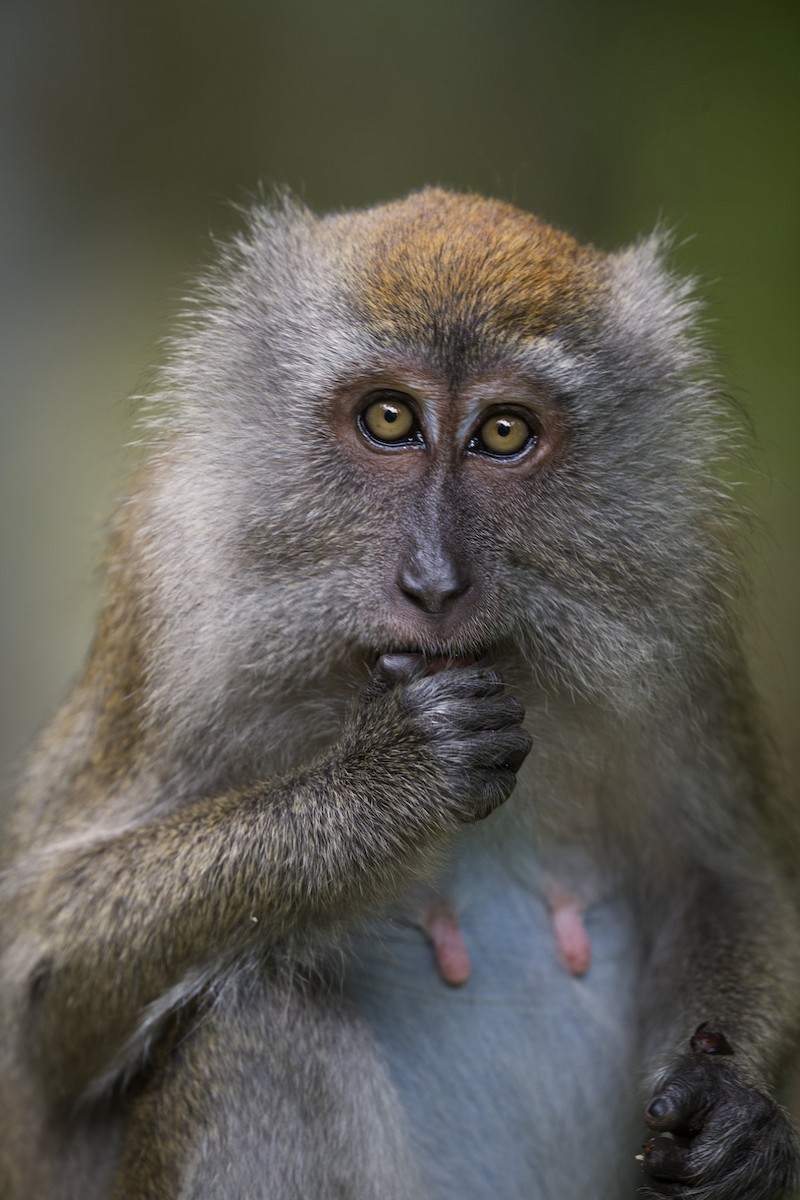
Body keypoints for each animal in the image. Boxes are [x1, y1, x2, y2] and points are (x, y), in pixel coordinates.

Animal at [0, 187, 798, 1200]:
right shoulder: (176, 593)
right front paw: (387, 784)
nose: (434, 583)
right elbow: (44, 990)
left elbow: (721, 880)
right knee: (261, 1031)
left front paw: (733, 1109)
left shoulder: (681, 605)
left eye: (504, 432)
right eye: (388, 418)